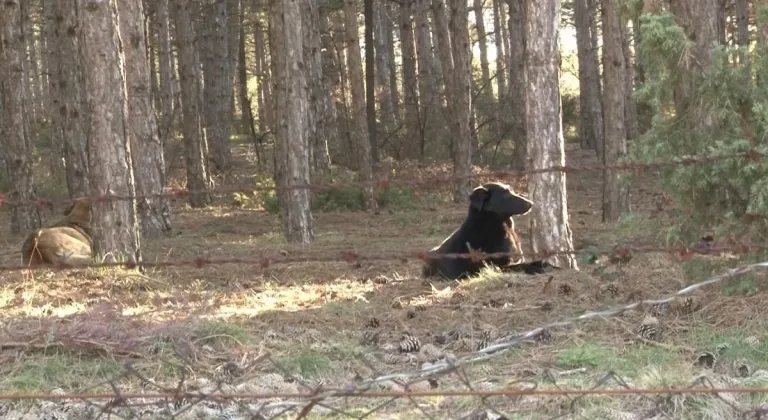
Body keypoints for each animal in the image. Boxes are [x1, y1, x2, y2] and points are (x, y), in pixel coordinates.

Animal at [424, 182, 560, 280]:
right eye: (505, 194)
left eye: (511, 190)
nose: (531, 203)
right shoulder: (496, 267)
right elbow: (520, 266)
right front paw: (535, 269)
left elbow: (538, 262)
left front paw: (550, 265)